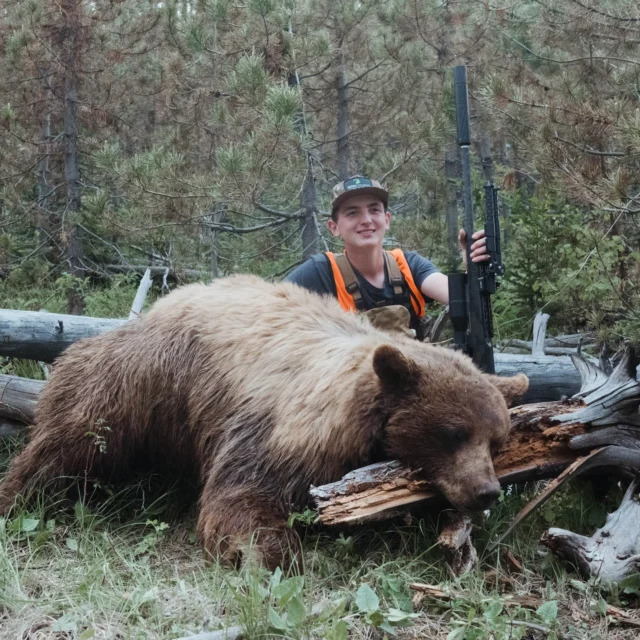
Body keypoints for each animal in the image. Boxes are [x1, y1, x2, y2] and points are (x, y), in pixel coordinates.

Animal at [0, 275, 528, 569]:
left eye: (496, 440)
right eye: (453, 432)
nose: (486, 491)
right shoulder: (279, 429)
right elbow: (242, 498)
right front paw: (269, 552)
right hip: (136, 381)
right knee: (67, 443)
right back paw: (17, 497)